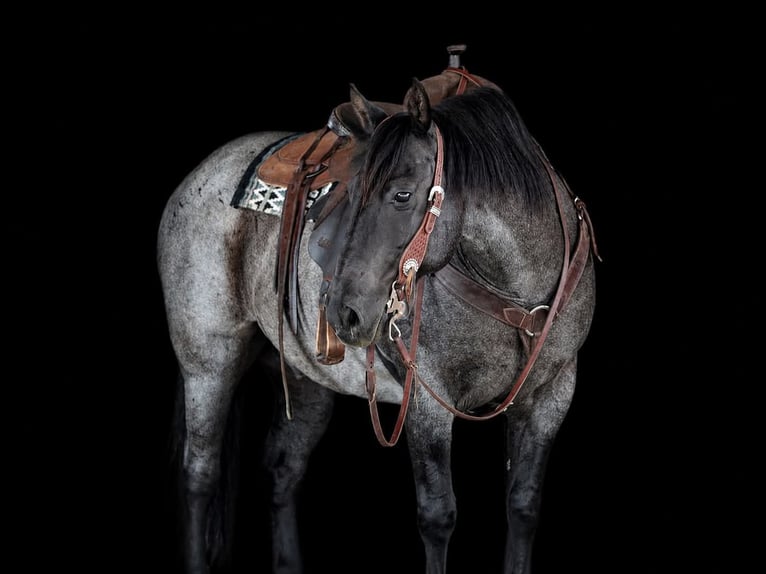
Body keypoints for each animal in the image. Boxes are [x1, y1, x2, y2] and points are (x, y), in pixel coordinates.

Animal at [158, 59, 599, 574]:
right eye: (352, 195)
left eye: (403, 196)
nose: (343, 312)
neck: (516, 291)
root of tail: (197, 176)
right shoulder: (426, 399)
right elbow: (438, 516)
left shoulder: (552, 394)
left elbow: (523, 506)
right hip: (208, 363)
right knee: (200, 473)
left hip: (306, 381)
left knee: (283, 470)